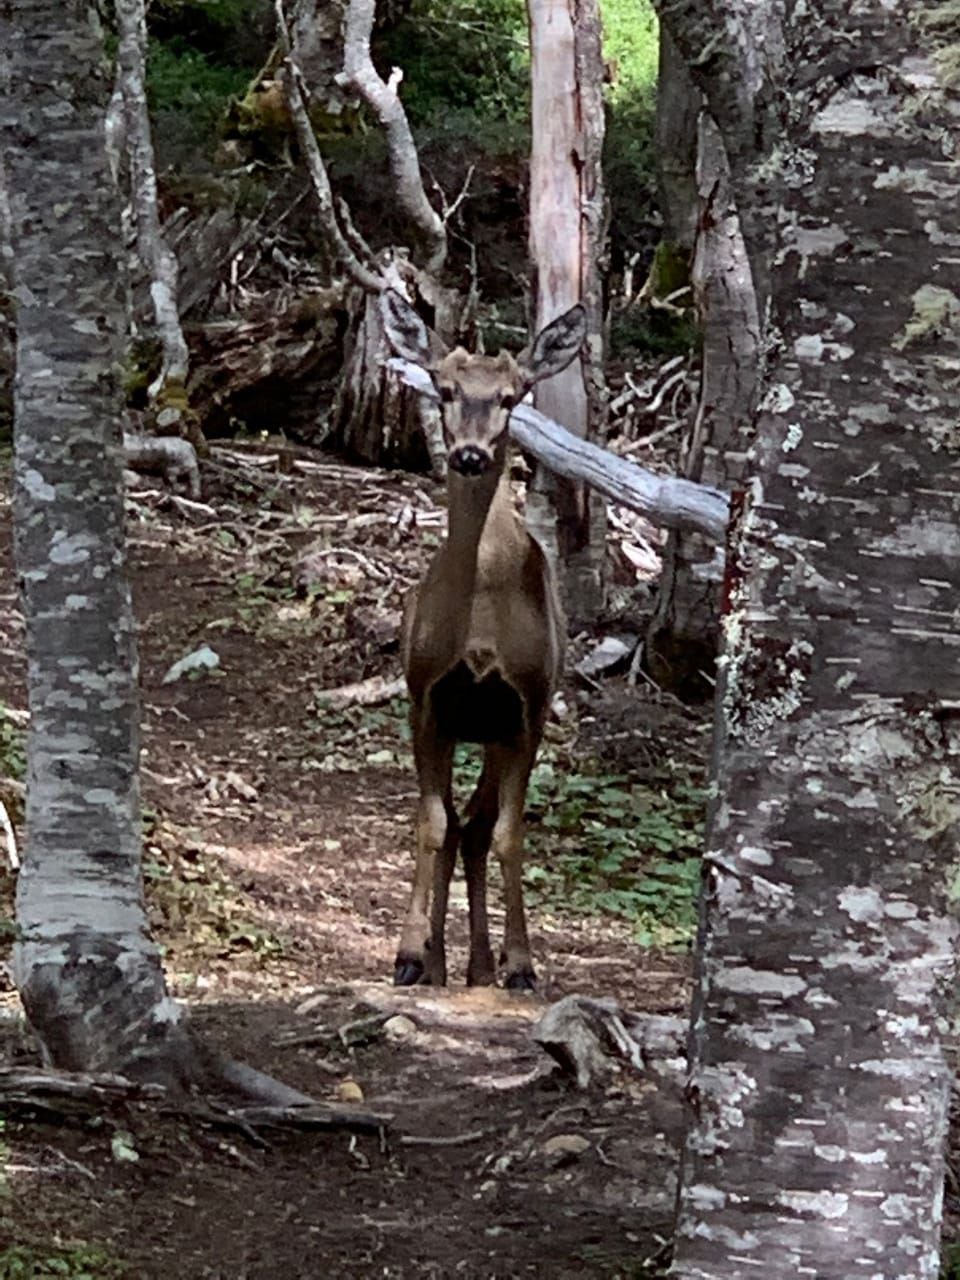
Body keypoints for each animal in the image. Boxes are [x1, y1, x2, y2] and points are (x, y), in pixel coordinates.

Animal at [381, 290, 586, 988]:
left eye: (511, 395)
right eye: (443, 388)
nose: (470, 454)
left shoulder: (526, 705)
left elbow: (507, 834)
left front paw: (521, 962)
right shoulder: (427, 698)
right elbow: (428, 824)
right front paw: (410, 954)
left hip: (497, 731)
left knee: (476, 825)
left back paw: (479, 967)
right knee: (456, 824)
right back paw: (443, 963)